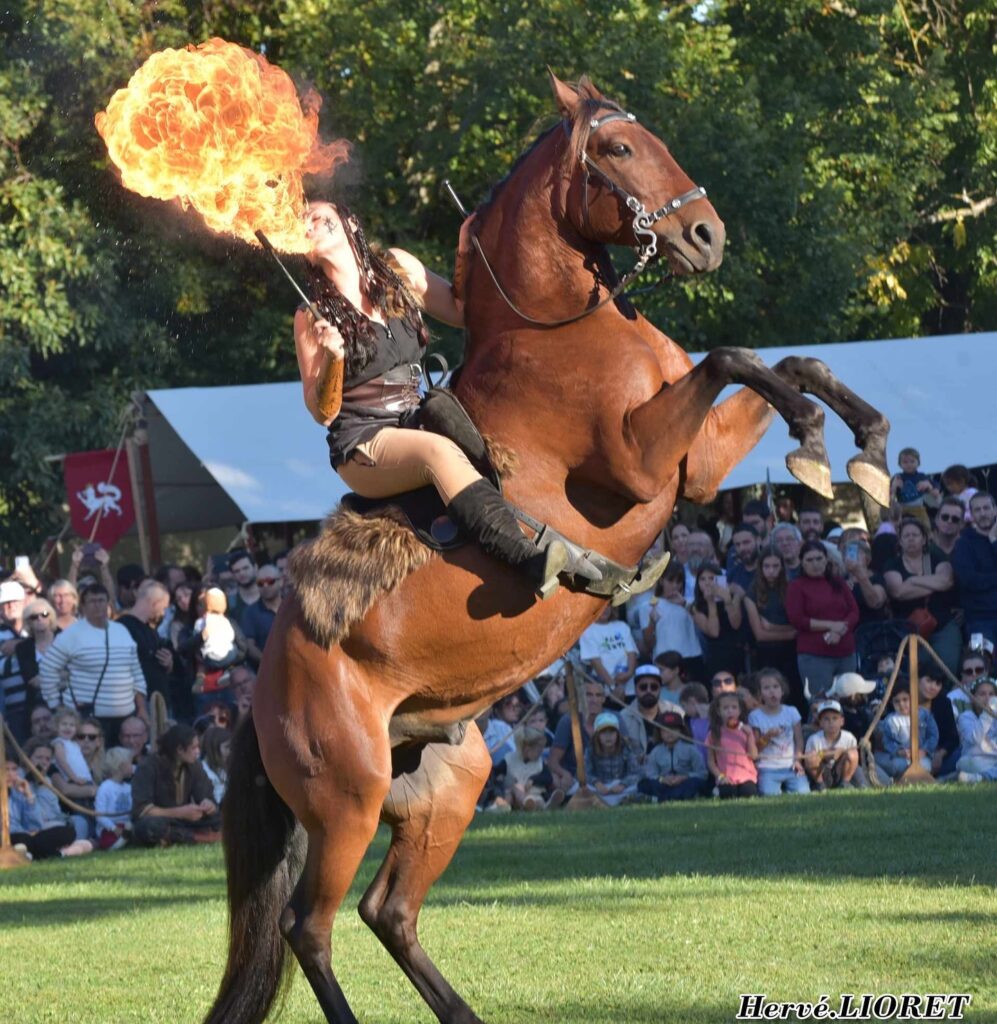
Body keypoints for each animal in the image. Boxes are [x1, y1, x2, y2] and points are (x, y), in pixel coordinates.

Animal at [204, 73, 889, 1024]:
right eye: (619, 148)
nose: (705, 235)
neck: (559, 333)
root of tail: (261, 696)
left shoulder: (700, 466)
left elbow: (789, 362)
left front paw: (855, 456)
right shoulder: (646, 463)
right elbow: (732, 355)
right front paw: (821, 445)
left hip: (447, 781)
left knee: (389, 912)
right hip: (346, 801)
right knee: (312, 926)